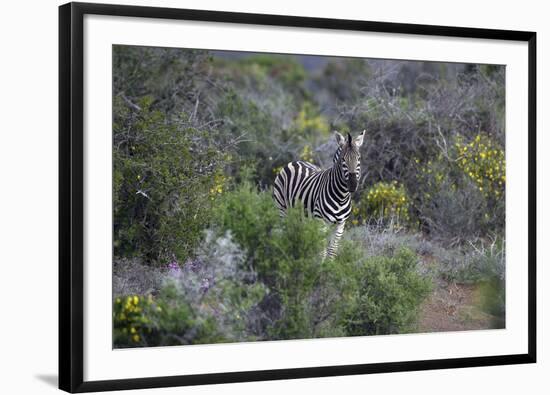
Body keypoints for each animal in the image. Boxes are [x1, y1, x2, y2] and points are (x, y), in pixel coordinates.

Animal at [272, 131, 366, 260]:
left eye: (359, 158)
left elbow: (332, 250)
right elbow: (322, 251)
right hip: (282, 210)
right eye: (343, 159)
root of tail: (295, 162)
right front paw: (320, 265)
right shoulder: (320, 221)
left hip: (302, 216)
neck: (341, 197)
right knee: (284, 234)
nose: (352, 185)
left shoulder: (340, 224)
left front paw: (329, 265)